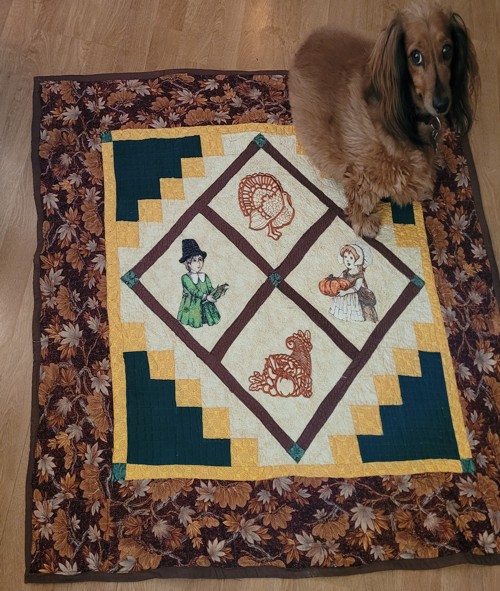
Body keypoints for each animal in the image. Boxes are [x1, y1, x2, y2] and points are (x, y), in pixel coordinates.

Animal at [290, 4, 480, 238]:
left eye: (447, 50)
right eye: (415, 56)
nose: (442, 104)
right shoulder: (363, 173)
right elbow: (362, 196)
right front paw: (364, 221)